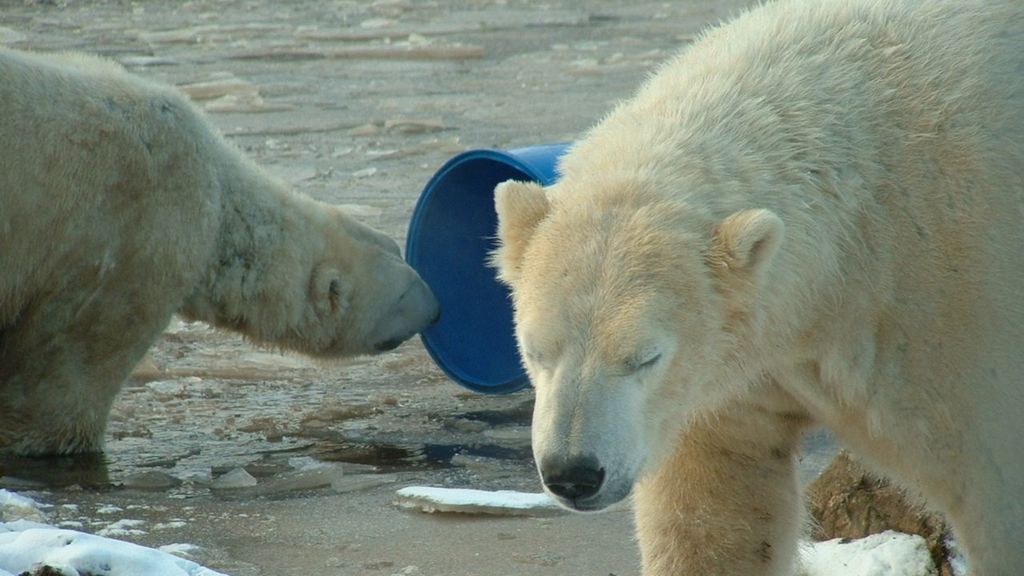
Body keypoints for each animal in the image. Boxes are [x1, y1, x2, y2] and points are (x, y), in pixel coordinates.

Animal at [0, 48, 440, 453]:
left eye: (399, 249)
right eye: (404, 293)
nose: (437, 308)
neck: (218, 201)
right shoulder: (125, 244)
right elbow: (62, 380)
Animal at [491, 0, 1024, 569]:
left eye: (646, 357)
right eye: (535, 349)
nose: (574, 473)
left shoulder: (952, 315)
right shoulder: (737, 365)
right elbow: (714, 512)